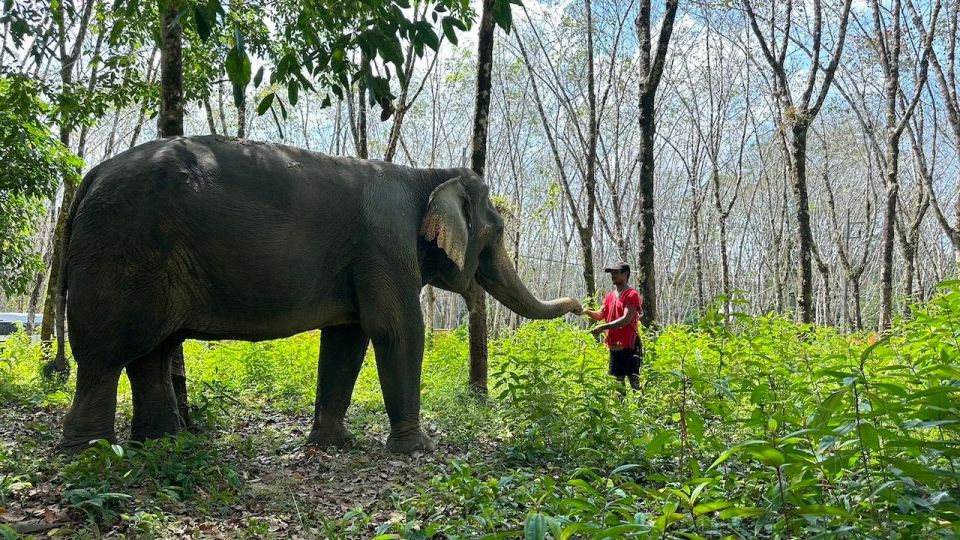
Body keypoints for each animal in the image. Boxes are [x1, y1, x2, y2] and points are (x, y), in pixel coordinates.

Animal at [62, 134, 584, 452]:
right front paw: (416, 449)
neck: (424, 173)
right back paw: (90, 452)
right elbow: (397, 331)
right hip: (120, 248)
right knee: (104, 354)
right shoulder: (384, 241)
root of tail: (90, 175)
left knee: (151, 354)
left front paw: (334, 445)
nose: (583, 306)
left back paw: (163, 444)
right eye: (497, 232)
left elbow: (347, 339)